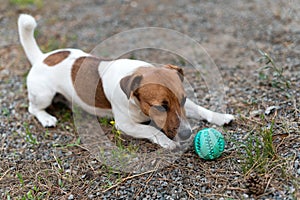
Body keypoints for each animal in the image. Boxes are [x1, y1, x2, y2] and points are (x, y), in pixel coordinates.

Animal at [18, 13, 234, 148]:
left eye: (183, 100)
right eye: (160, 107)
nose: (187, 134)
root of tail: (41, 58)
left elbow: (200, 109)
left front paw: (219, 116)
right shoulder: (125, 125)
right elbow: (151, 130)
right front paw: (167, 142)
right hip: (44, 94)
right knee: (33, 108)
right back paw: (46, 118)